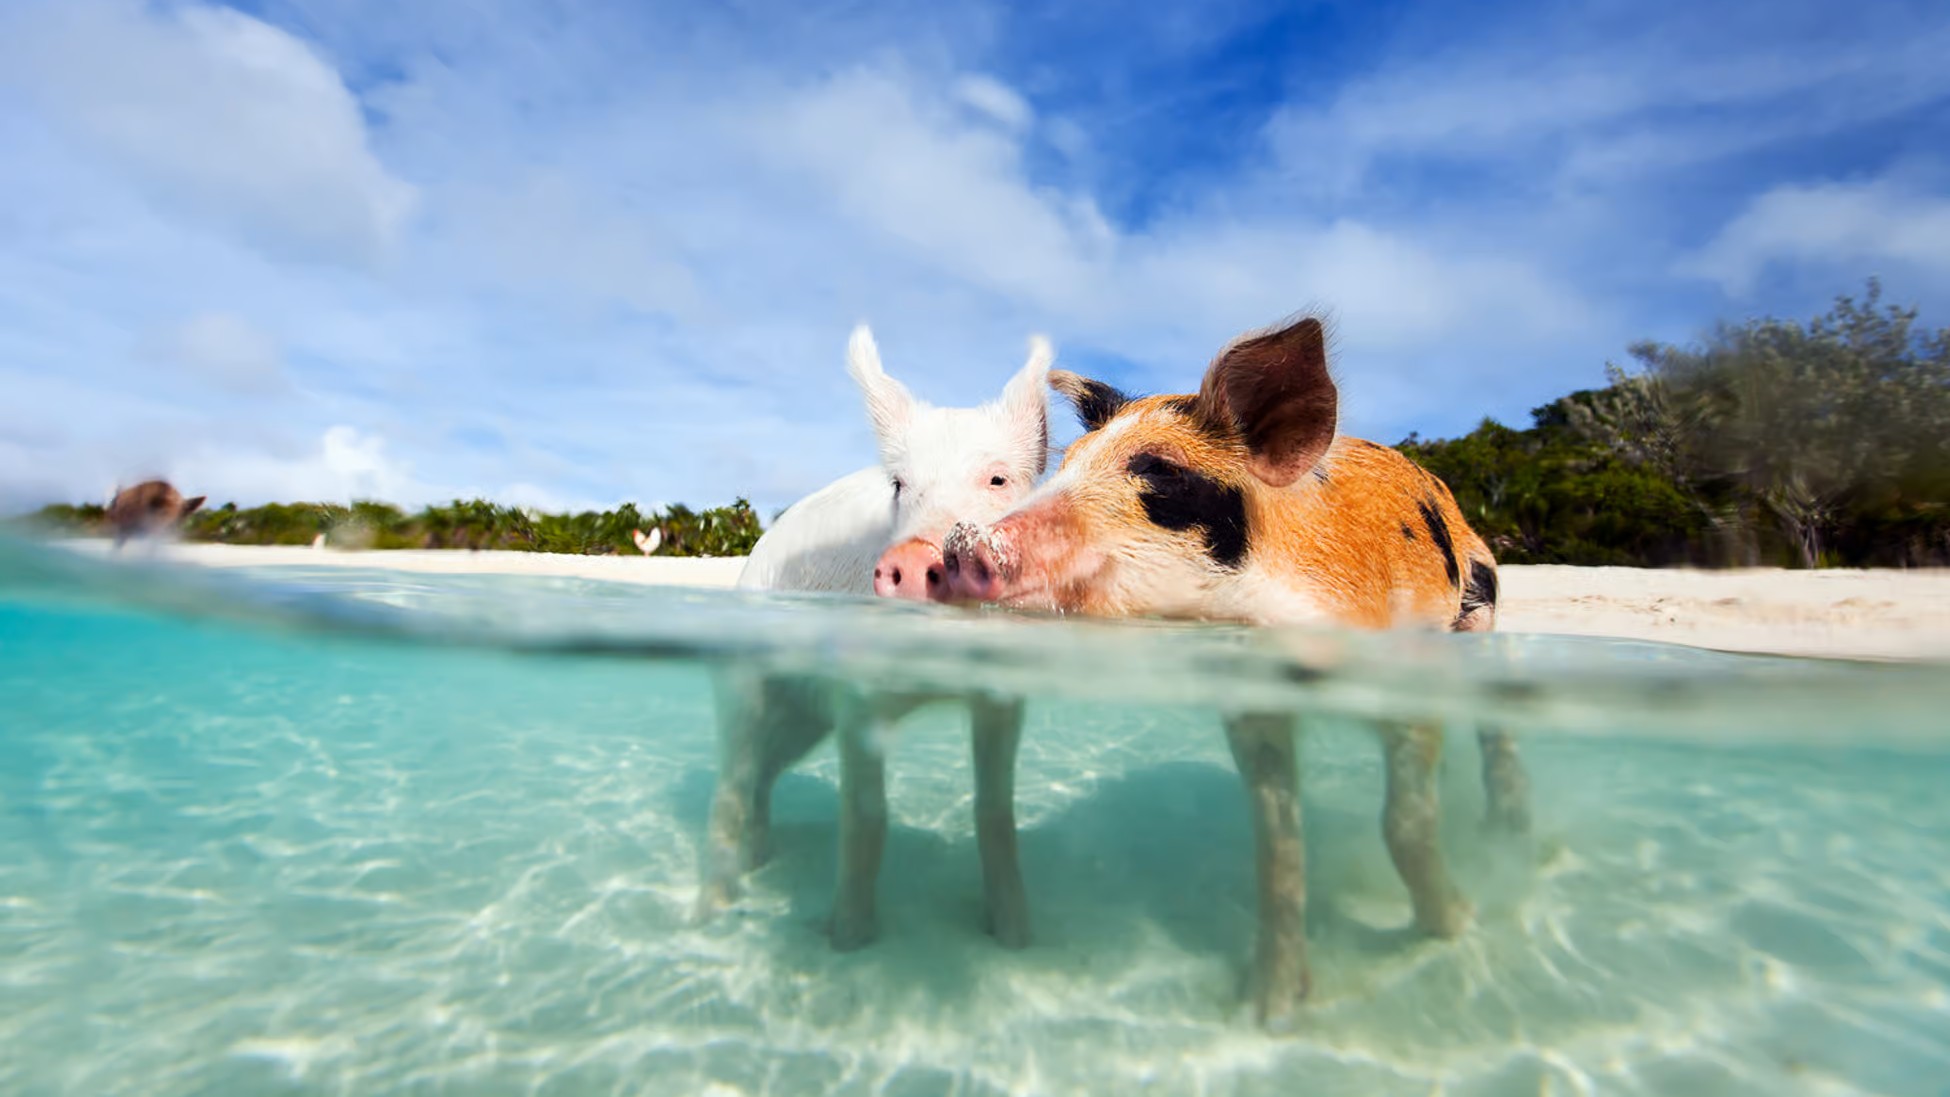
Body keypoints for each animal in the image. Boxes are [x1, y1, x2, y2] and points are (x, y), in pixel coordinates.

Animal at [696, 324, 1052, 950]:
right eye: (900, 485)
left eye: (998, 478)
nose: (912, 557)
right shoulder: (857, 698)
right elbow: (866, 816)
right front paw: (848, 940)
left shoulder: (1002, 698)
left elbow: (993, 812)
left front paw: (1016, 938)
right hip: (744, 680)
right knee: (732, 784)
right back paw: (709, 916)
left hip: (803, 721)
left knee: (763, 775)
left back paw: (761, 860)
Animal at [935, 314, 1531, 1026]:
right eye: (1069, 463)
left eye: (1160, 472)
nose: (960, 544)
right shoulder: (1253, 709)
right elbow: (1278, 846)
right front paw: (1269, 1011)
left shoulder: (1406, 678)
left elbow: (1404, 822)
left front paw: (1454, 926)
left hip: (1480, 610)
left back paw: (1508, 833)